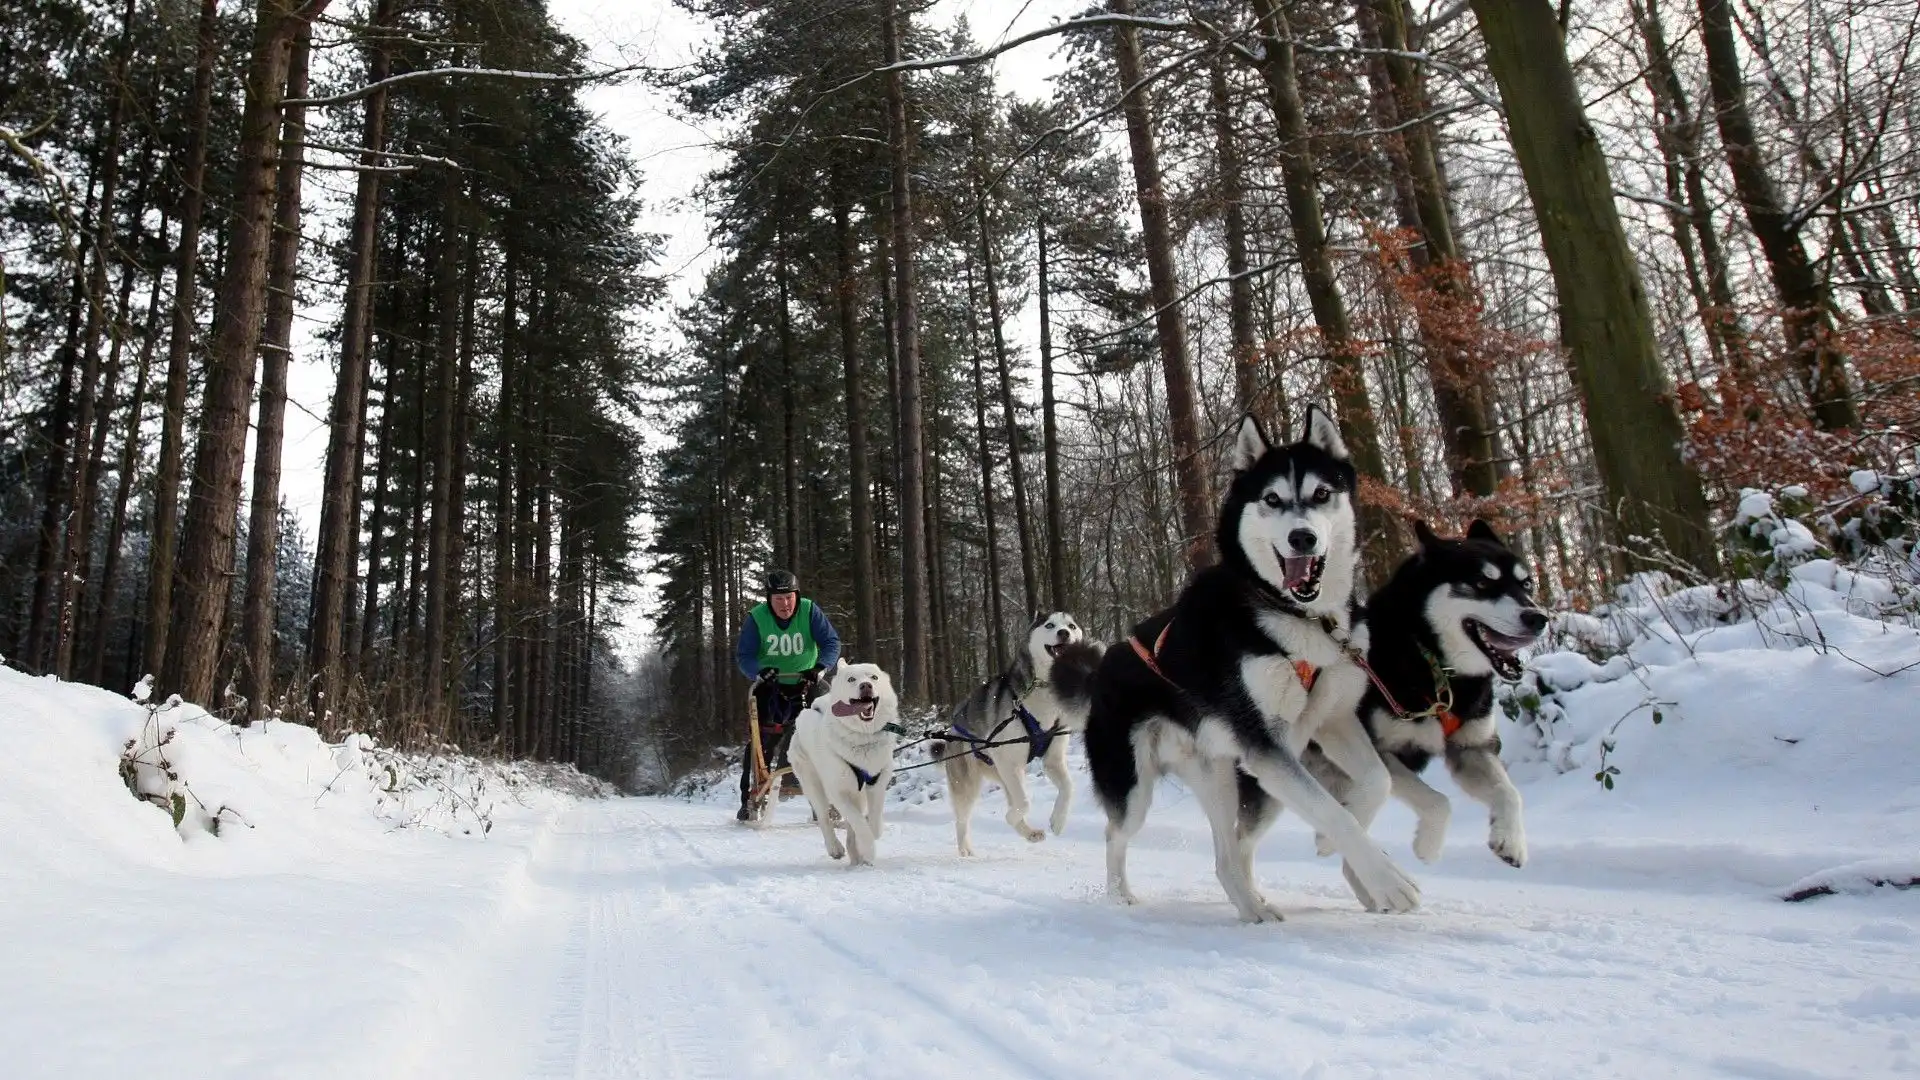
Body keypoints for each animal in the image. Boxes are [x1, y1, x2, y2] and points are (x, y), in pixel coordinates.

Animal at [787, 661, 898, 860]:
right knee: (823, 816)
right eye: (851, 679)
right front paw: (867, 848)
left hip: (857, 793)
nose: (866, 686)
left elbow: (874, 821)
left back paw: (854, 850)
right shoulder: (838, 792)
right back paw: (835, 847)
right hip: (813, 784)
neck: (863, 738)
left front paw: (867, 839)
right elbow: (859, 823)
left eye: (874, 677)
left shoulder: (877, 783)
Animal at [925, 614, 1105, 849]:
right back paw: (966, 850)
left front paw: (1058, 820)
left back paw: (1029, 832)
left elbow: (1068, 787)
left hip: (1007, 774)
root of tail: (953, 726)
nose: (1064, 633)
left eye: (1071, 626)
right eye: (1050, 625)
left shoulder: (1052, 759)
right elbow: (1024, 803)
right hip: (971, 782)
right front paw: (1011, 817)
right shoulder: (1006, 757)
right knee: (962, 821)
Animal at [1090, 405, 1420, 914]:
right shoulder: (1266, 745)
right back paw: (1120, 895)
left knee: (1231, 852)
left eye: (1322, 493)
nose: (1302, 538)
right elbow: (1330, 809)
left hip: (1229, 775)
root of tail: (1103, 663)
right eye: (1271, 498)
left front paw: (1331, 840)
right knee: (1115, 835)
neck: (1300, 617)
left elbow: (1377, 781)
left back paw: (1252, 906)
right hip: (1137, 788)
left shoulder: (1331, 721)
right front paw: (1387, 880)